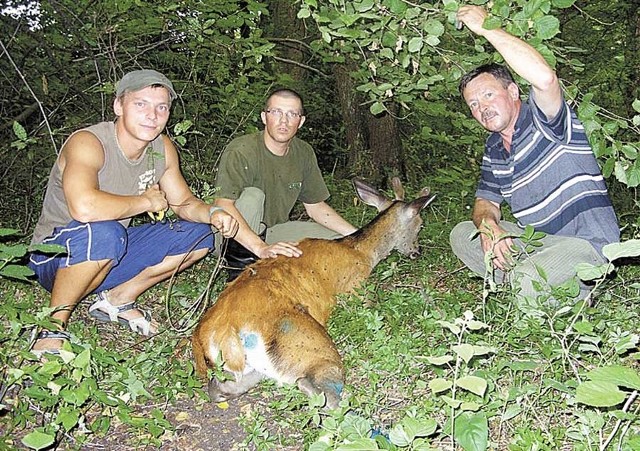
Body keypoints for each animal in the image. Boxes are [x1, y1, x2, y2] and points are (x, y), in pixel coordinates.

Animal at [190, 177, 436, 410]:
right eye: (420, 225)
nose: (417, 251)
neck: (363, 252)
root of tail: (221, 334)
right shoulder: (356, 289)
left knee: (219, 387)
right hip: (301, 339)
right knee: (317, 385)